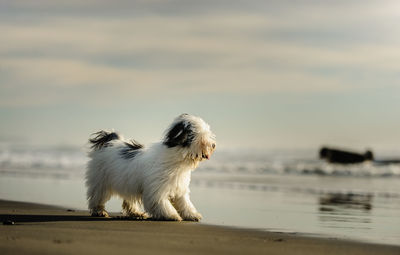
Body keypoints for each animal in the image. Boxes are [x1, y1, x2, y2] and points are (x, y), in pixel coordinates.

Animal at [85, 113, 216, 221]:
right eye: (202, 138)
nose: (214, 145)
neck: (177, 159)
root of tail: (112, 141)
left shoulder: (179, 188)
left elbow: (185, 203)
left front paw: (192, 215)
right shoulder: (157, 189)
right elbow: (162, 203)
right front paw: (171, 215)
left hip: (128, 183)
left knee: (128, 200)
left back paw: (136, 213)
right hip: (101, 179)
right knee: (97, 195)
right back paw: (99, 211)